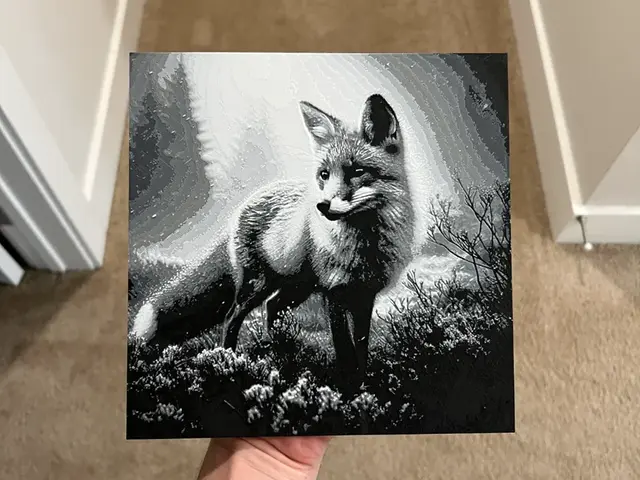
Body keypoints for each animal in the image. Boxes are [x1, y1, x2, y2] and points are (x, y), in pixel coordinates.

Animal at [129, 93, 415, 381]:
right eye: (324, 174)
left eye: (357, 172)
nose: (322, 206)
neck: (364, 246)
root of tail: (241, 208)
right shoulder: (333, 292)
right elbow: (344, 349)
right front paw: (349, 386)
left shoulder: (365, 295)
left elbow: (361, 347)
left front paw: (364, 382)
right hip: (257, 285)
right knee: (232, 316)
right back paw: (228, 359)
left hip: (296, 286)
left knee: (272, 307)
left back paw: (283, 354)